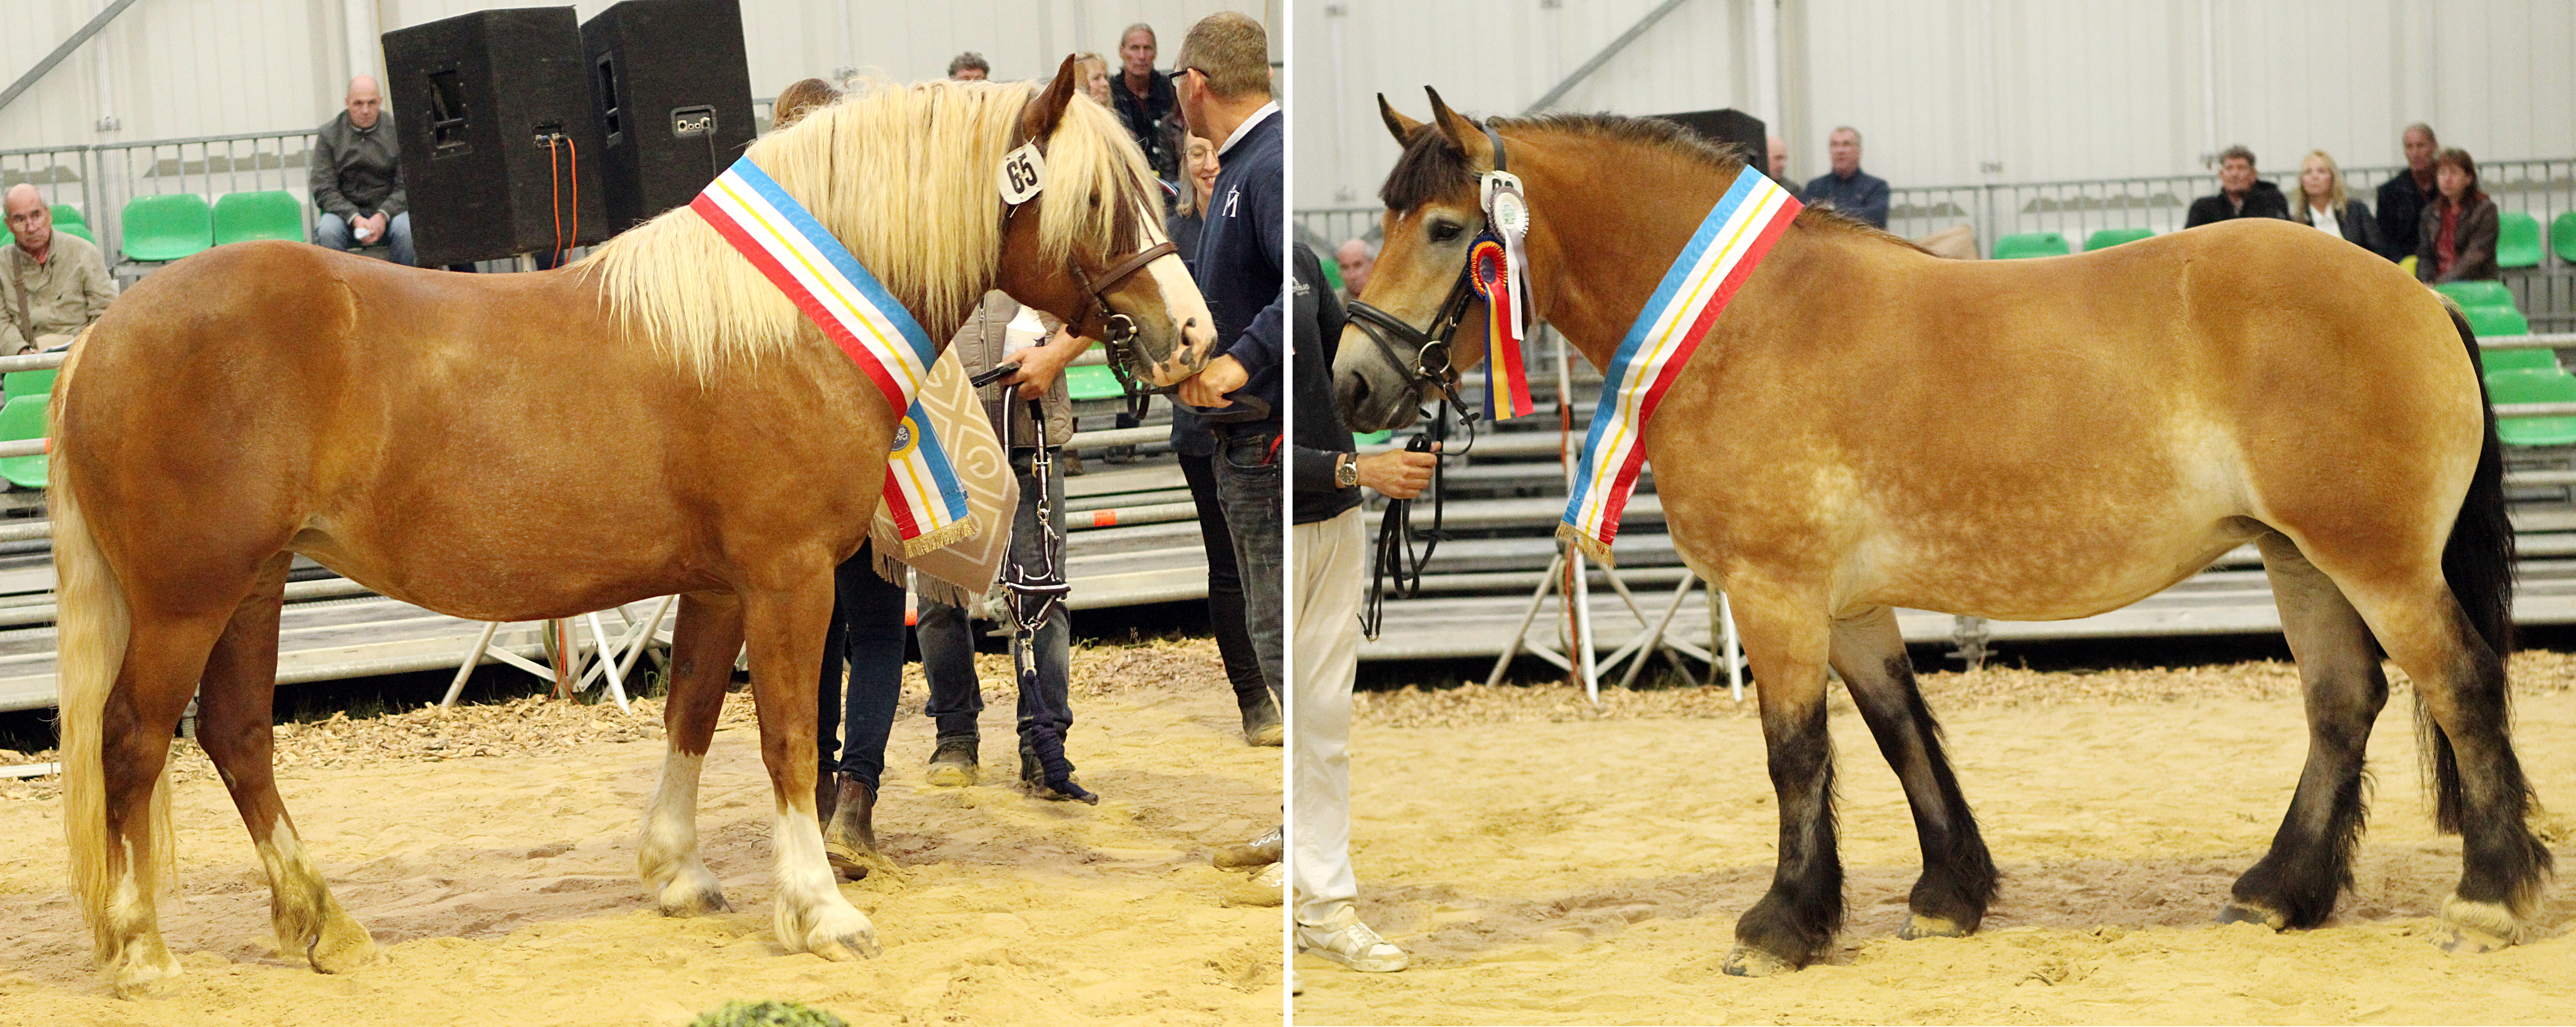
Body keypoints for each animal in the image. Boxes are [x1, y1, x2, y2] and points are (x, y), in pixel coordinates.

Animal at [53, 60, 1216, 1004]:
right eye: (1097, 199)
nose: (1192, 335)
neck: (778, 324)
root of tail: (101, 340)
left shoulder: (719, 583)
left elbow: (692, 710)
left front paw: (680, 872)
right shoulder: (789, 574)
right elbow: (789, 735)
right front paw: (820, 909)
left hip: (251, 587)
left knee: (237, 737)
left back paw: (326, 926)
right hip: (189, 599)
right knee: (133, 741)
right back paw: (143, 948)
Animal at [1340, 94, 2545, 983]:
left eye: (1445, 229)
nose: (1352, 381)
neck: (1740, 321)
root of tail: (2419, 299)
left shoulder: (1774, 593)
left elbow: (1795, 754)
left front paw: (1779, 926)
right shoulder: (1847, 604)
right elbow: (1898, 731)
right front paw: (1946, 894)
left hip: (2375, 561)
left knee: (2461, 683)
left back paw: (2487, 896)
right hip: (2300, 556)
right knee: (2344, 703)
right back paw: (2277, 893)